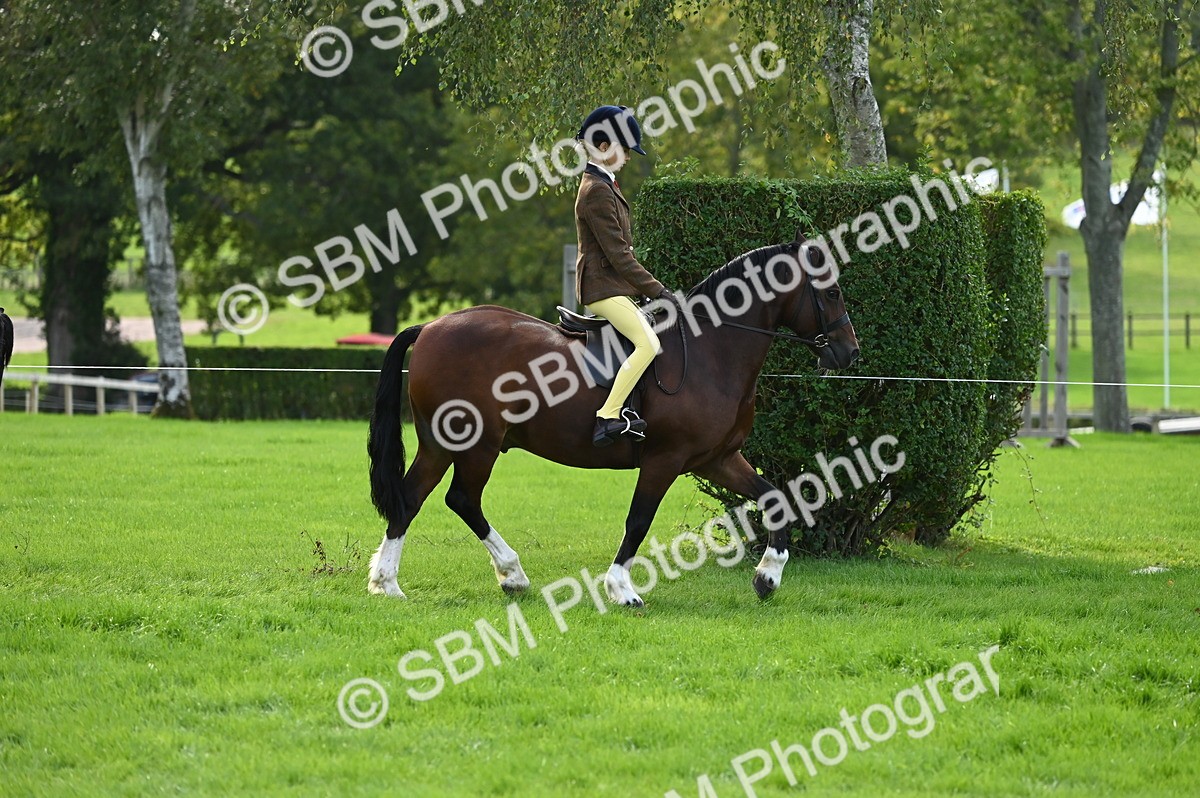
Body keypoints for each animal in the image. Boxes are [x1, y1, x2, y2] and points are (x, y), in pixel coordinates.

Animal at [365, 234, 860, 606]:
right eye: (832, 292)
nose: (849, 352)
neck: (711, 352)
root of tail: (430, 327)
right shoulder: (665, 459)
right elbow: (638, 521)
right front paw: (622, 590)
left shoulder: (717, 459)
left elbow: (775, 498)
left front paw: (767, 577)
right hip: (478, 445)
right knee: (462, 500)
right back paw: (511, 574)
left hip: (440, 444)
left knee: (410, 498)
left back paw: (388, 584)